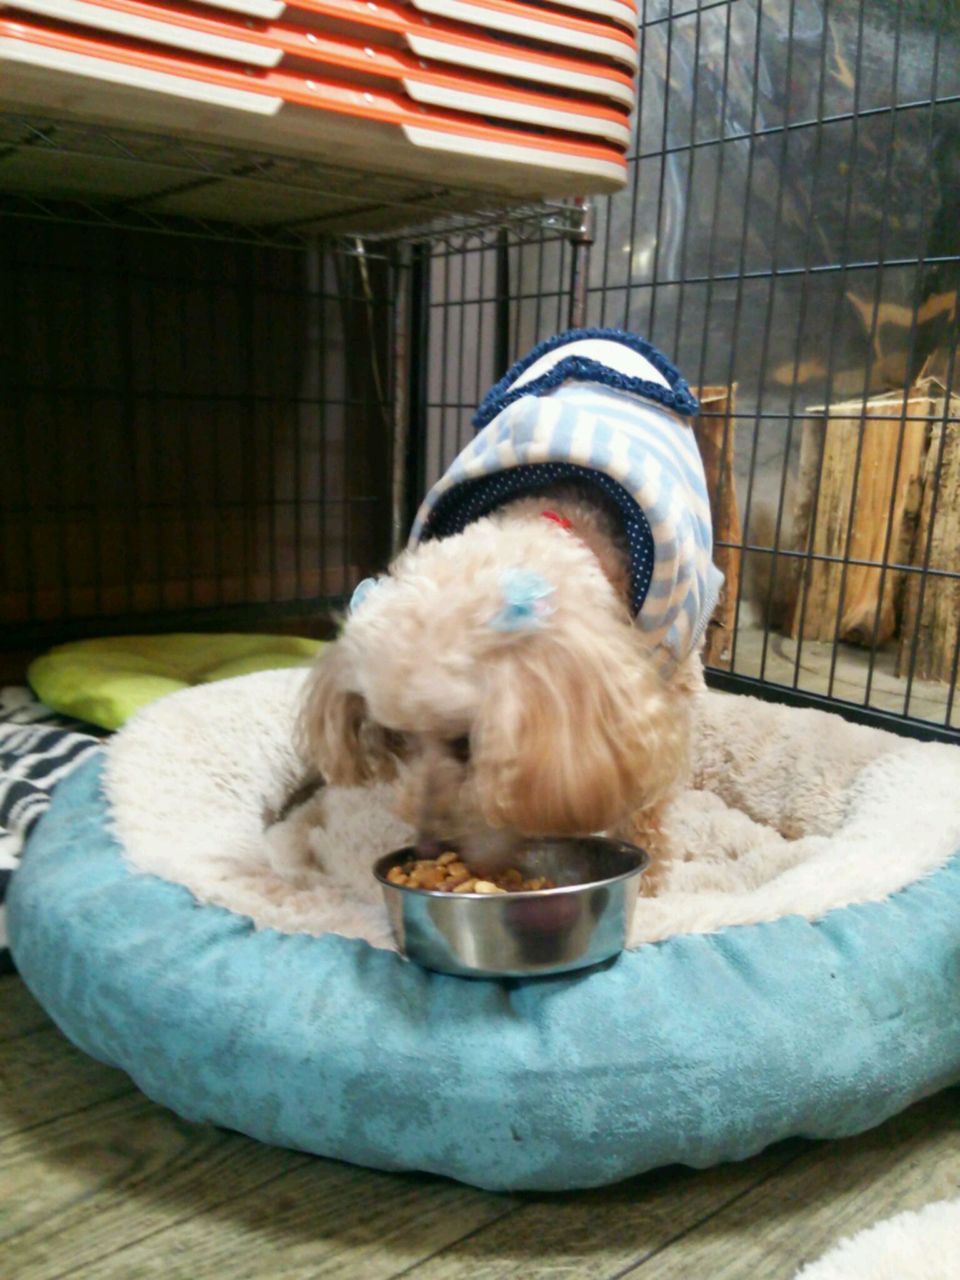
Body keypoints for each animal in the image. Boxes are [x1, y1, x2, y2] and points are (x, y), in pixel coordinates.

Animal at [297, 329, 721, 887]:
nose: (429, 848)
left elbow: (646, 803)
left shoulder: (665, 679)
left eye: (467, 744)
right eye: (396, 739)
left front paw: (649, 879)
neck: (553, 520)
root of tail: (598, 337)